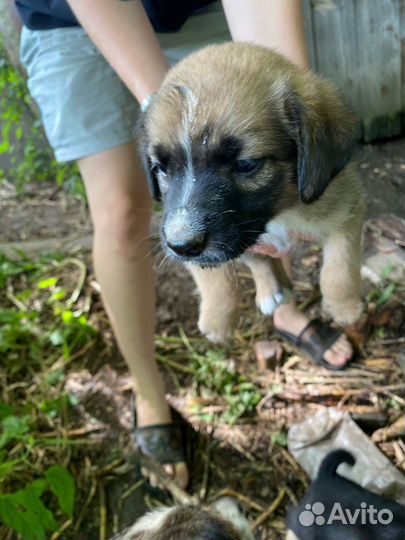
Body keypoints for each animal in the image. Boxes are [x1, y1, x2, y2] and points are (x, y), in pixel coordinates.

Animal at [140, 44, 366, 344]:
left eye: (246, 164)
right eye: (160, 168)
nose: (183, 246)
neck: (278, 213)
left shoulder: (347, 209)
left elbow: (339, 267)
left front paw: (345, 307)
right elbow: (215, 275)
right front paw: (218, 318)